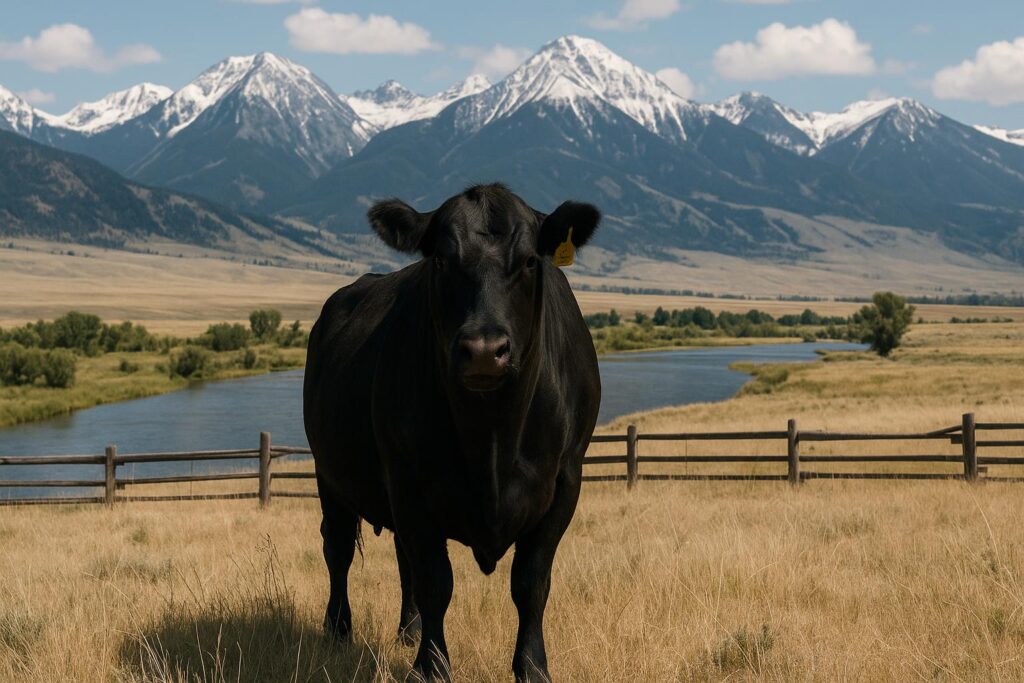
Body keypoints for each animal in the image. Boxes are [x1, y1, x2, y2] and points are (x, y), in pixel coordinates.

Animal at [303, 183, 601, 682]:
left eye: (529, 261)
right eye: (440, 260)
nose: (483, 350)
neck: (493, 438)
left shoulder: (564, 482)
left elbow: (531, 582)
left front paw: (532, 666)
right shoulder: (408, 483)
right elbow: (436, 582)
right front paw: (431, 667)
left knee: (399, 557)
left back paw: (407, 631)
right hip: (329, 473)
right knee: (338, 549)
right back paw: (338, 629)